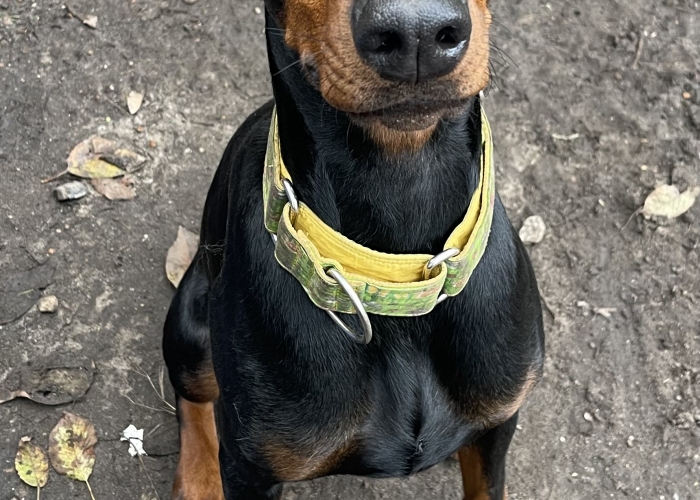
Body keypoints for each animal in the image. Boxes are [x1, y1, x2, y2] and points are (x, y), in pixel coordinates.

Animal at [161, 0, 544, 500]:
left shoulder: (500, 420)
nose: (416, 32)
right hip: (190, 323)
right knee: (192, 397)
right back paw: (198, 480)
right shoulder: (252, 466)